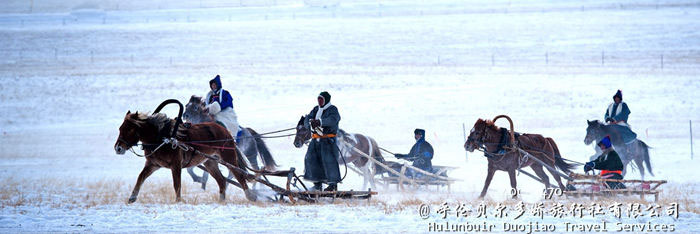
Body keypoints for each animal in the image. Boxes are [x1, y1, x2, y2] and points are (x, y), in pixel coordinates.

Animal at [113, 110, 256, 202]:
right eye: (120, 128)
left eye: (129, 129)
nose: (118, 148)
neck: (163, 137)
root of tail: (225, 130)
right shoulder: (153, 164)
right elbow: (141, 177)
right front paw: (132, 197)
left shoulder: (176, 165)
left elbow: (177, 184)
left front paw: (178, 201)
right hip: (209, 162)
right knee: (221, 180)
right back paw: (222, 201)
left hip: (228, 157)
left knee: (239, 176)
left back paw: (251, 197)